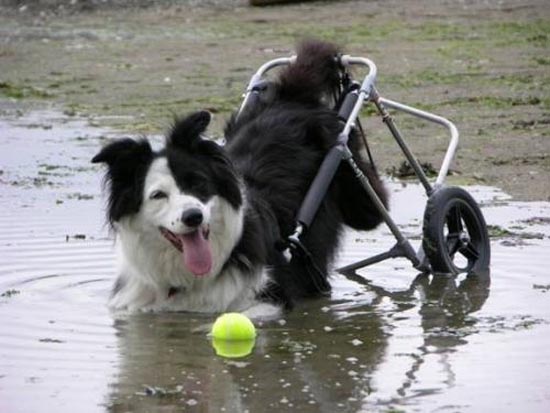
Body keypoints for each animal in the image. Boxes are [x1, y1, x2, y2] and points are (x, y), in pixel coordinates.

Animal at [94, 40, 388, 316]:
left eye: (198, 184)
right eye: (158, 195)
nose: (193, 217)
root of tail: (292, 96)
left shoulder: (271, 296)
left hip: (355, 188)